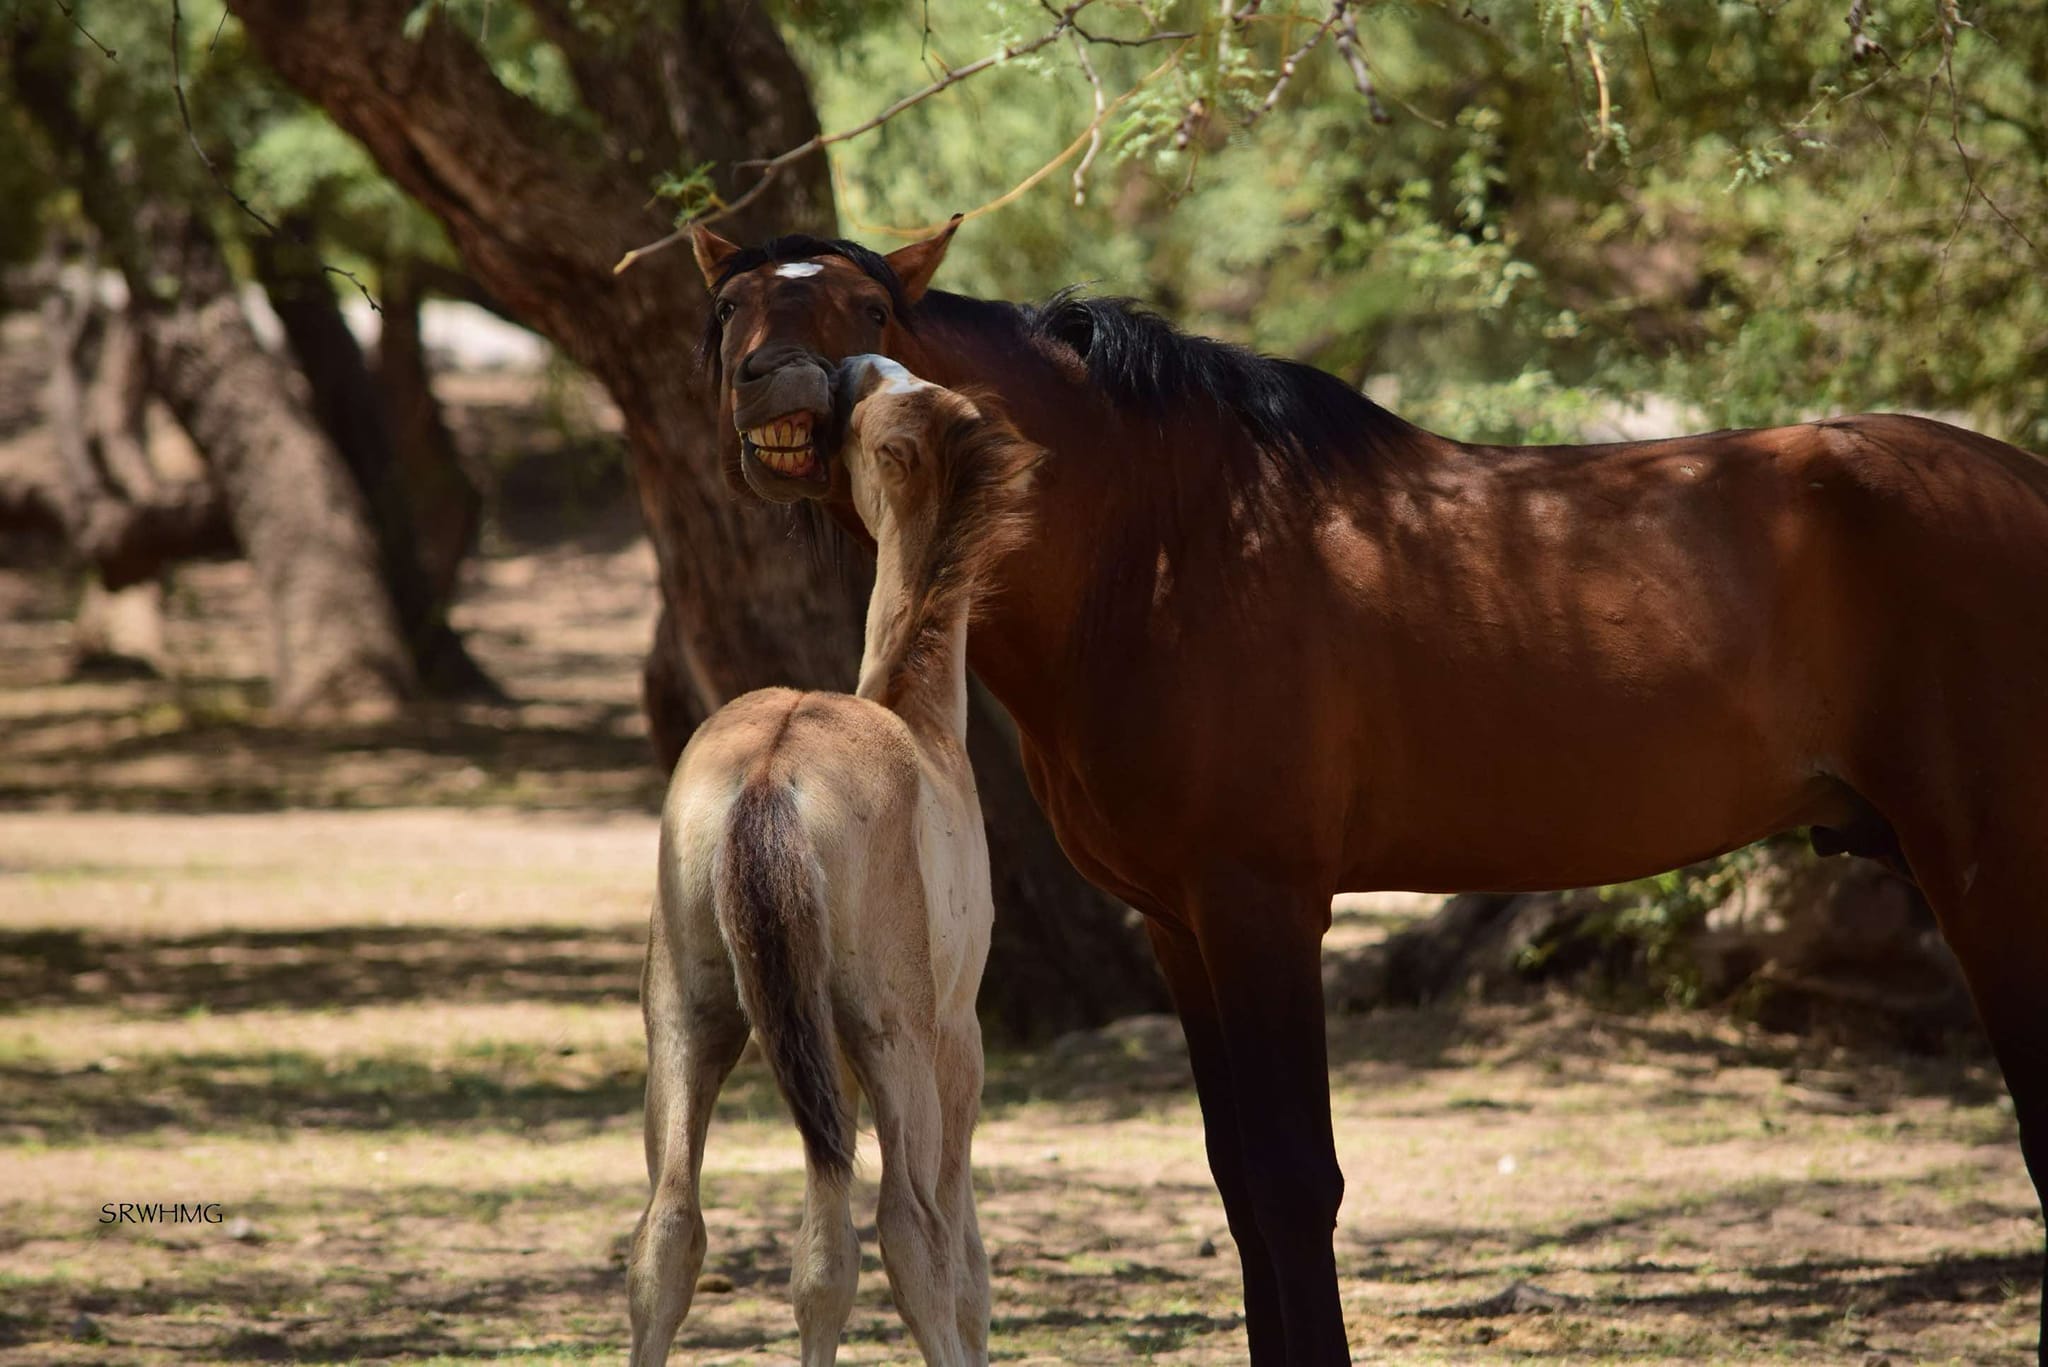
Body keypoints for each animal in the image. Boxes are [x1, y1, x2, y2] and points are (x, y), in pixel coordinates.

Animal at [626, 356, 1048, 1367]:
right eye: (877, 403)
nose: (850, 366)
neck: (920, 720)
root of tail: (769, 772)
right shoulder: (957, 1038)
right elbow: (964, 1261)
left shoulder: (826, 1054)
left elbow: (821, 1259)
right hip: (892, 1035)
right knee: (909, 1228)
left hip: (693, 1018)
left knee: (672, 1228)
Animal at [688, 219, 2048, 1360]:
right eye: (729, 309)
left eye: (869, 306)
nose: (771, 384)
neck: (1165, 546)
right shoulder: (1178, 924)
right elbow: (1242, 1184)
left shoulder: (1262, 907)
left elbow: (1298, 1181)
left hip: (1987, 868)